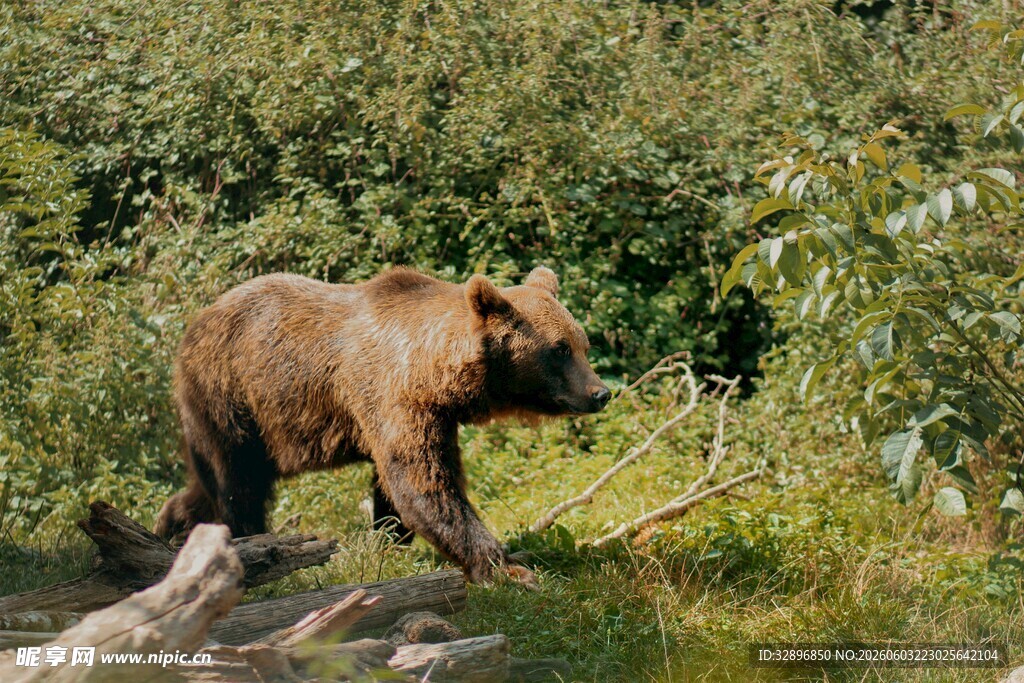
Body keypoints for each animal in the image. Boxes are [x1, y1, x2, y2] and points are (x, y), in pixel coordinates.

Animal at [154, 266, 610, 585]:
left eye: (583, 345)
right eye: (560, 349)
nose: (600, 392)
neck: (434, 373)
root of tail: (194, 323)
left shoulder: (434, 417)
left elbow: (401, 486)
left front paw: (390, 542)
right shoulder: (392, 397)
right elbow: (423, 486)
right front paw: (507, 568)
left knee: (208, 483)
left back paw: (171, 526)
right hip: (228, 397)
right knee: (238, 482)